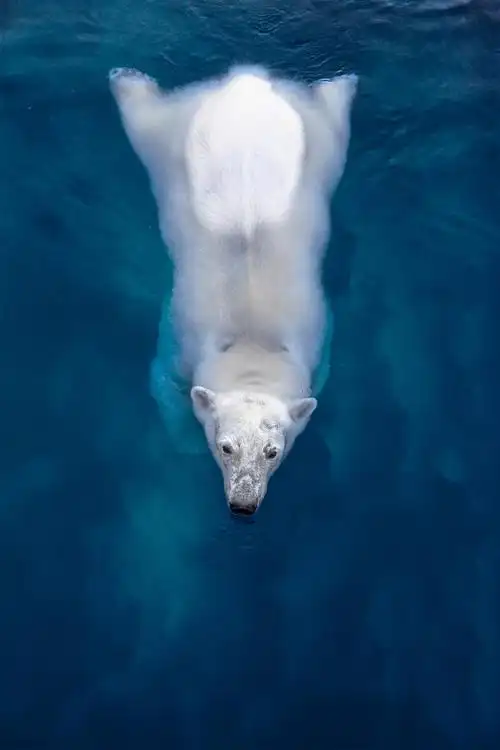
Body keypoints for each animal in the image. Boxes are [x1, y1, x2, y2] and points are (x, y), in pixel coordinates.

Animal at [109, 64, 357, 516]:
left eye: (272, 450)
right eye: (225, 446)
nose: (244, 504)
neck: (251, 339)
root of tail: (247, 83)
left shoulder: (317, 345)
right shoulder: (180, 343)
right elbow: (165, 385)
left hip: (320, 144)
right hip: (171, 138)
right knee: (143, 118)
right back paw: (126, 81)